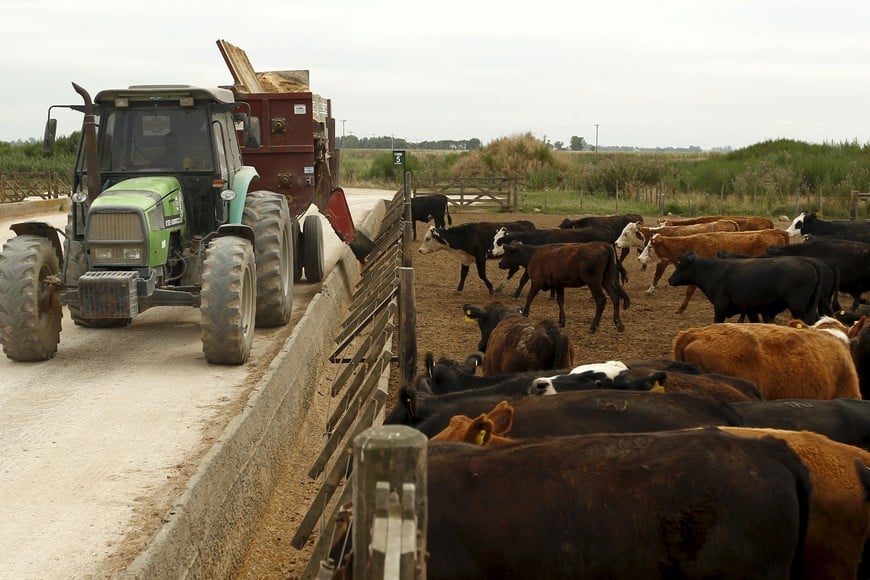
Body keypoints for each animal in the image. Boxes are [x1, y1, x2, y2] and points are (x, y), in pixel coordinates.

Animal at [636, 229, 792, 314]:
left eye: (650, 247)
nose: (639, 259)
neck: (690, 245)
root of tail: (776, 231)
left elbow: (690, 290)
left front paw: (681, 309)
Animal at [668, 250, 824, 324]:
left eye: (681, 264)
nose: (670, 279)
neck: (715, 272)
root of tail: (809, 262)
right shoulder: (750, 310)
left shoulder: (720, 308)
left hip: (799, 308)